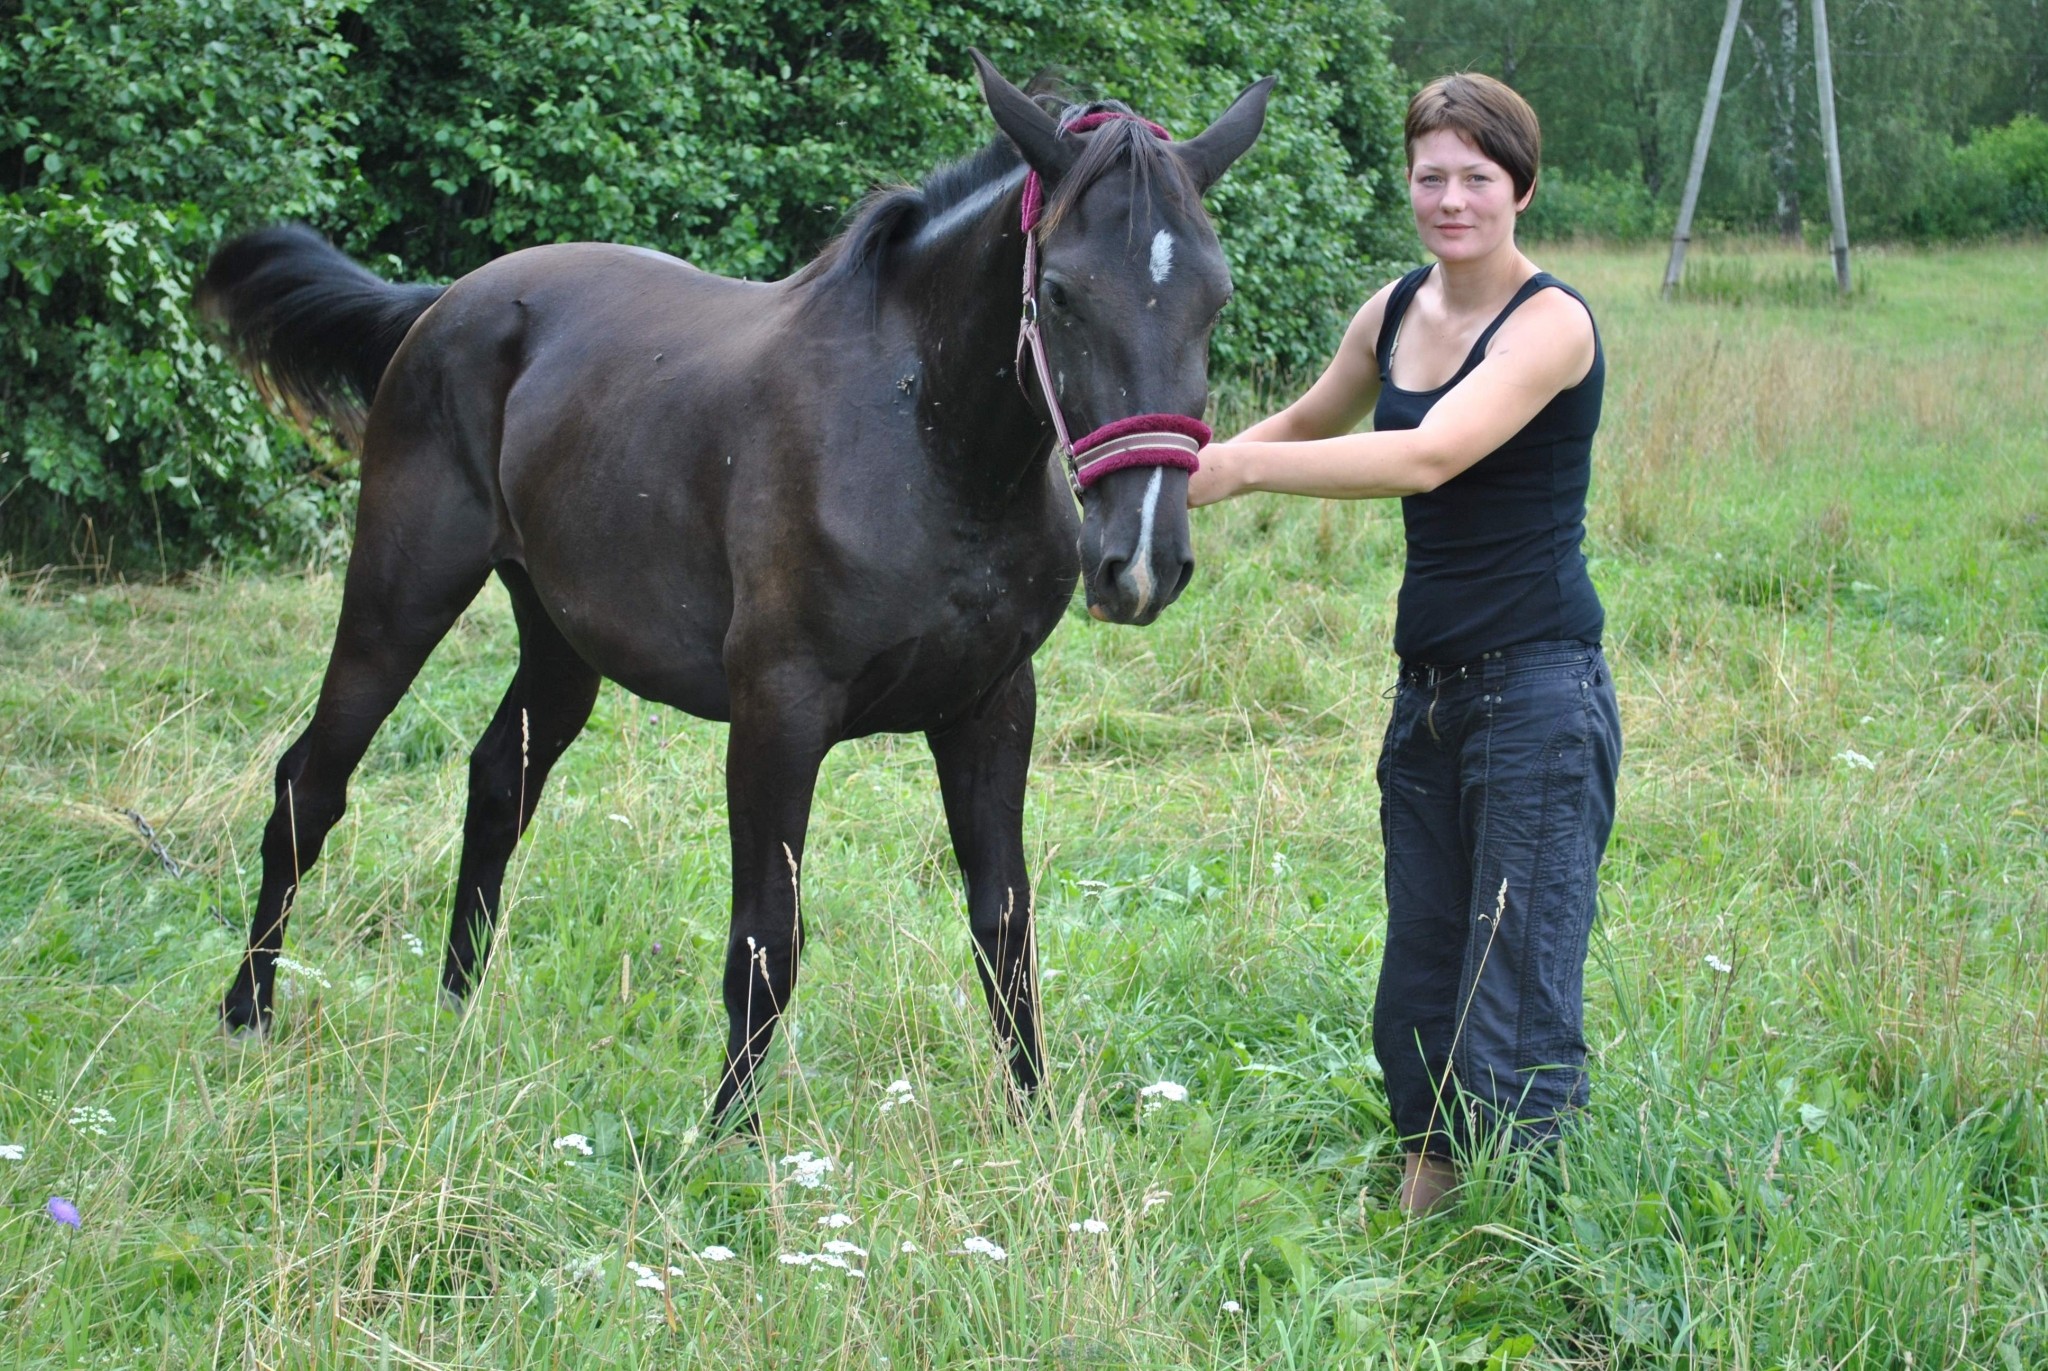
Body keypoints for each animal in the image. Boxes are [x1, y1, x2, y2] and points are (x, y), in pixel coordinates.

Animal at [199, 53, 1269, 1123]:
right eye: (1060, 291)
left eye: (1215, 298)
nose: (1141, 559)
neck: (923, 436)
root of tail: (446, 301)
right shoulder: (778, 711)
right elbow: (766, 938)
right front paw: (728, 1137)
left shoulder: (992, 705)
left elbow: (1003, 923)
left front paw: (1035, 1122)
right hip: (400, 594)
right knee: (309, 787)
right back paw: (247, 1014)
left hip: (560, 639)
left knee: (499, 783)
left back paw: (457, 1015)